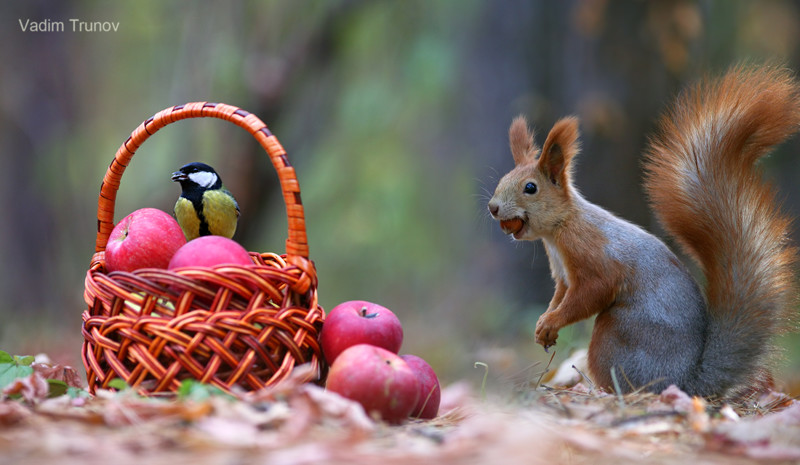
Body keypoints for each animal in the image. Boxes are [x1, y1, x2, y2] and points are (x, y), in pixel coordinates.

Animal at [488, 65, 800, 396]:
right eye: (503, 179)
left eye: (530, 188)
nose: (493, 207)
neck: (560, 230)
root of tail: (685, 381)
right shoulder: (562, 274)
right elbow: (560, 294)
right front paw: (544, 324)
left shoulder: (593, 256)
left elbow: (590, 293)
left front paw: (552, 321)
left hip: (618, 334)